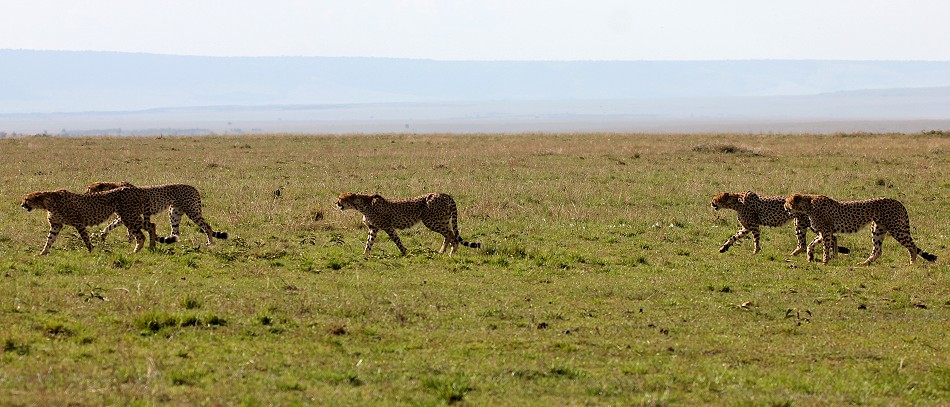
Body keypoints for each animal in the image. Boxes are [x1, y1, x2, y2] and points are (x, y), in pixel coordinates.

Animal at [20, 187, 156, 255]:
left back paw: (137, 250)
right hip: (130, 216)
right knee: (151, 225)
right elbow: (49, 239)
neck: (47, 202)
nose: (22, 205)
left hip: (129, 216)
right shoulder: (56, 225)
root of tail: (137, 190)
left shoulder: (79, 223)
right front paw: (43, 252)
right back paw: (152, 247)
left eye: (26, 199)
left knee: (144, 232)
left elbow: (85, 238)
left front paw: (91, 251)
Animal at [86, 182, 230, 245]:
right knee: (176, 232)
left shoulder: (126, 216)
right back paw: (171, 241)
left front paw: (131, 241)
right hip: (174, 213)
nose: (85, 192)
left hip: (192, 211)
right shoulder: (126, 216)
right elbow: (112, 226)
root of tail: (193, 187)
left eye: (89, 188)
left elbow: (119, 227)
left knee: (207, 226)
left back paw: (210, 243)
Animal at [336, 193, 484, 256]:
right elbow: (369, 242)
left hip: (431, 221)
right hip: (442, 220)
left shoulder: (387, 226)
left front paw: (405, 252)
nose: (336, 203)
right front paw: (365, 255)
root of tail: (444, 194)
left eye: (341, 198)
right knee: (452, 234)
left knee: (449, 234)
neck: (362, 204)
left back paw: (443, 251)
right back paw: (452, 251)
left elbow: (397, 240)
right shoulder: (374, 228)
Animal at [712, 191, 848, 255]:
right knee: (830, 237)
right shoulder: (746, 227)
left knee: (828, 237)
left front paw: (756, 251)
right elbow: (734, 237)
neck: (736, 202)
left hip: (806, 223)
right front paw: (724, 247)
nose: (711, 203)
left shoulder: (754, 225)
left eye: (715, 199)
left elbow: (756, 239)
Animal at [784, 194, 940, 266]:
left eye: (787, 201)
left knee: (912, 246)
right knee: (878, 250)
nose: (785, 207)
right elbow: (811, 244)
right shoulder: (824, 232)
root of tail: (898, 201)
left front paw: (825, 262)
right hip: (877, 229)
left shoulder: (826, 231)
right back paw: (865, 263)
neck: (808, 204)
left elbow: (825, 247)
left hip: (896, 228)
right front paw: (810, 256)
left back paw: (912, 263)